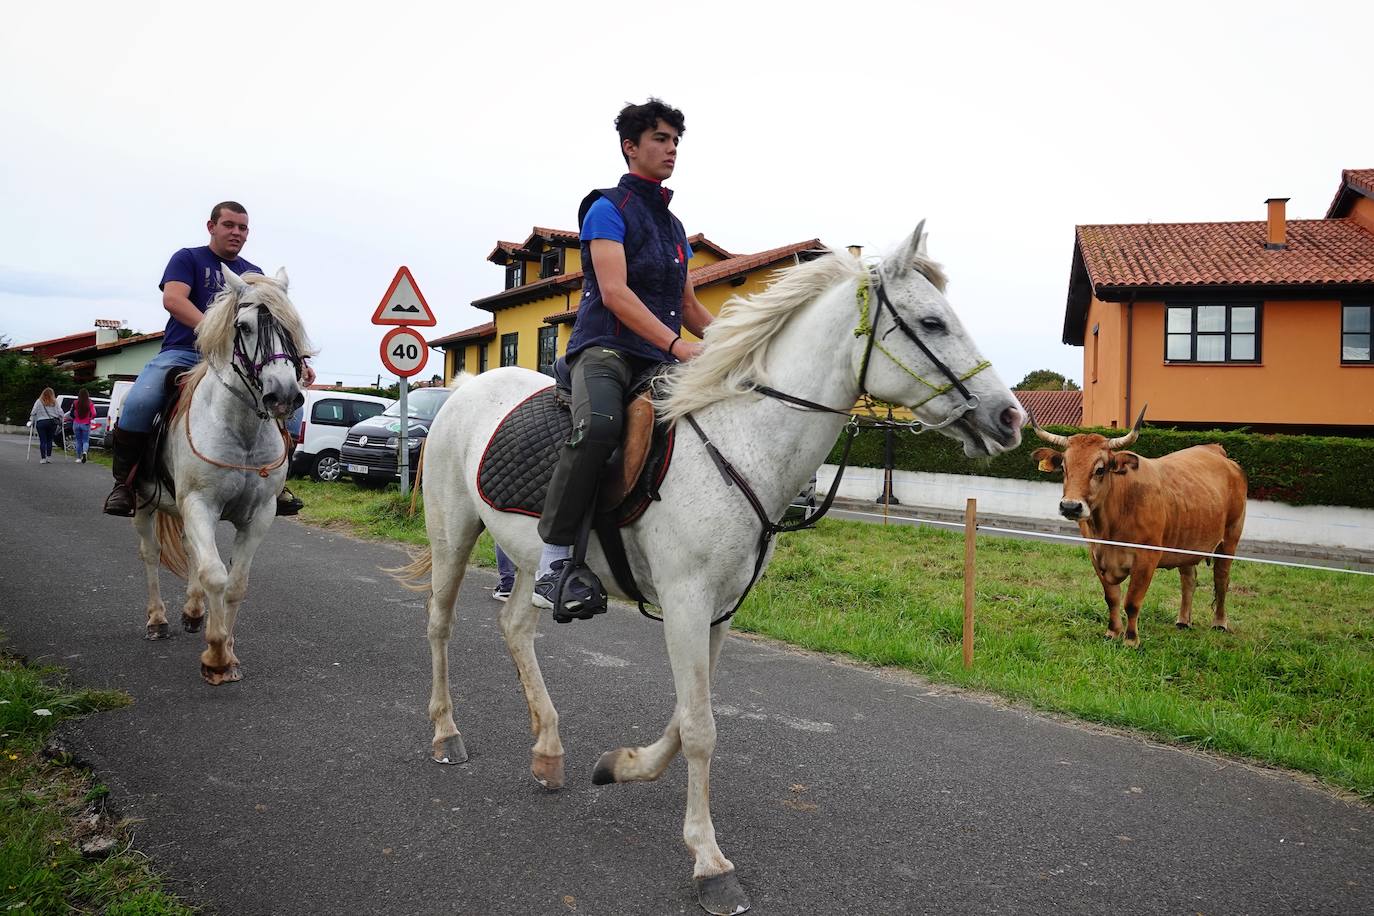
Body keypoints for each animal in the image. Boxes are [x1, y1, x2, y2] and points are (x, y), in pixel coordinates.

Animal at [130, 269, 309, 683]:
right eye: (243, 326)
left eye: (291, 326)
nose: (283, 396)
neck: (241, 429)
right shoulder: (200, 504)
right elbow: (215, 575)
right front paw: (215, 658)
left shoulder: (259, 515)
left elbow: (235, 584)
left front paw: (226, 646)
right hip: (145, 503)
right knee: (152, 553)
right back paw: (158, 620)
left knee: (191, 550)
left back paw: (194, 612)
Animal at [392, 223, 1027, 916]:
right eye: (933, 322)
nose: (1009, 418)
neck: (739, 442)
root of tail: (463, 391)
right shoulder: (687, 600)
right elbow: (700, 728)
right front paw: (709, 862)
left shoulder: (720, 607)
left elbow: (687, 713)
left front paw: (621, 765)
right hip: (453, 531)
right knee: (438, 624)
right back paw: (446, 734)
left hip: (534, 559)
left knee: (515, 629)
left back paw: (548, 752)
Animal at [1033, 409, 1247, 645]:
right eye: (1064, 467)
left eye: (1100, 469)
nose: (1070, 506)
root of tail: (1217, 452)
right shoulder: (1095, 555)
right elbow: (1112, 598)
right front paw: (1112, 632)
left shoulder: (1147, 559)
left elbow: (1132, 601)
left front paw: (1131, 639)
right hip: (1186, 541)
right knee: (1188, 580)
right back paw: (1183, 620)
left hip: (1230, 539)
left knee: (1221, 579)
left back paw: (1219, 622)